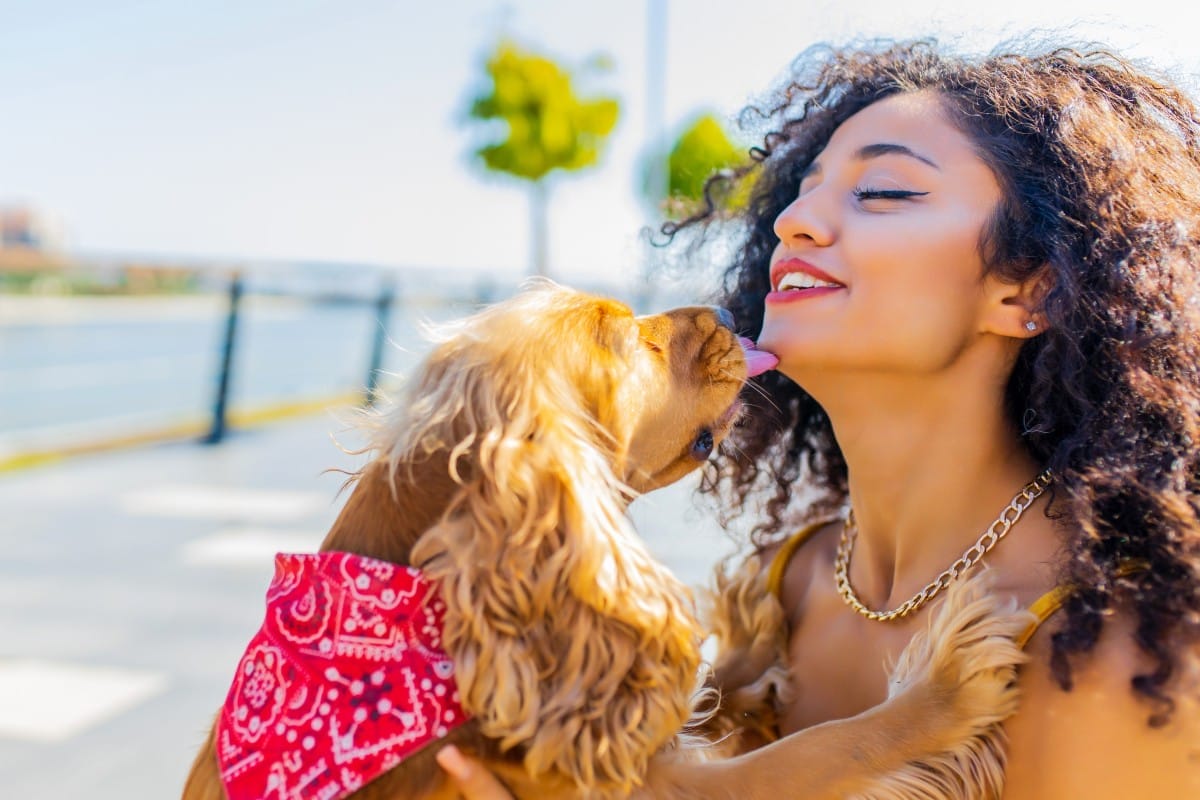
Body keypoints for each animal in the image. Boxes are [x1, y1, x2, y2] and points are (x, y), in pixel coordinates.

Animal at [182, 281, 1027, 800]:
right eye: (630, 343)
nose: (730, 314)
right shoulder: (667, 788)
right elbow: (828, 747)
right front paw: (946, 686)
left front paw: (752, 633)